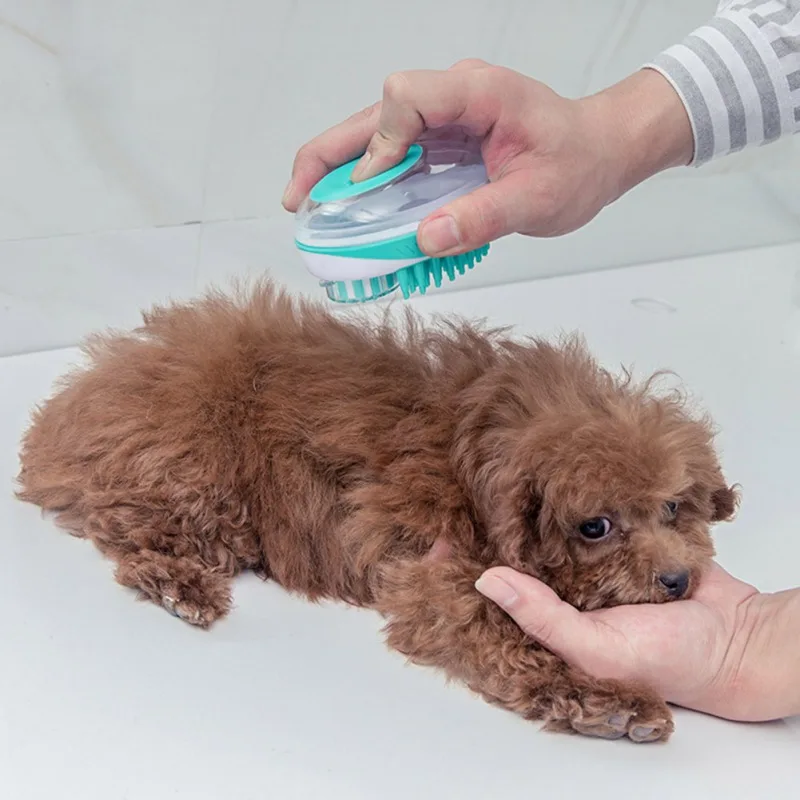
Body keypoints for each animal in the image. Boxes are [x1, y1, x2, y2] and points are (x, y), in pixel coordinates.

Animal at [16, 280, 737, 743]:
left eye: (674, 506)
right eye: (596, 527)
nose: (677, 581)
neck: (488, 449)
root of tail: (86, 392)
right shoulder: (444, 578)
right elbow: (507, 639)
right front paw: (609, 703)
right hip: (197, 473)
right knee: (130, 520)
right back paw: (180, 585)